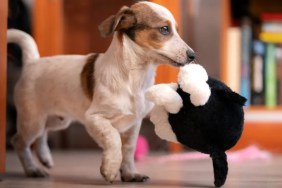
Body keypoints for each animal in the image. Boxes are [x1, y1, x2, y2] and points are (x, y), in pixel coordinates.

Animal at [7, 1, 195, 184]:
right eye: (165, 29)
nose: (193, 55)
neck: (134, 78)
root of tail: (32, 62)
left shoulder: (134, 123)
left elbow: (128, 149)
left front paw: (130, 174)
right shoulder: (94, 118)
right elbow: (114, 139)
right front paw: (110, 169)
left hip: (58, 120)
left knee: (42, 134)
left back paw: (44, 157)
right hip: (33, 120)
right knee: (19, 142)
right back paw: (32, 169)